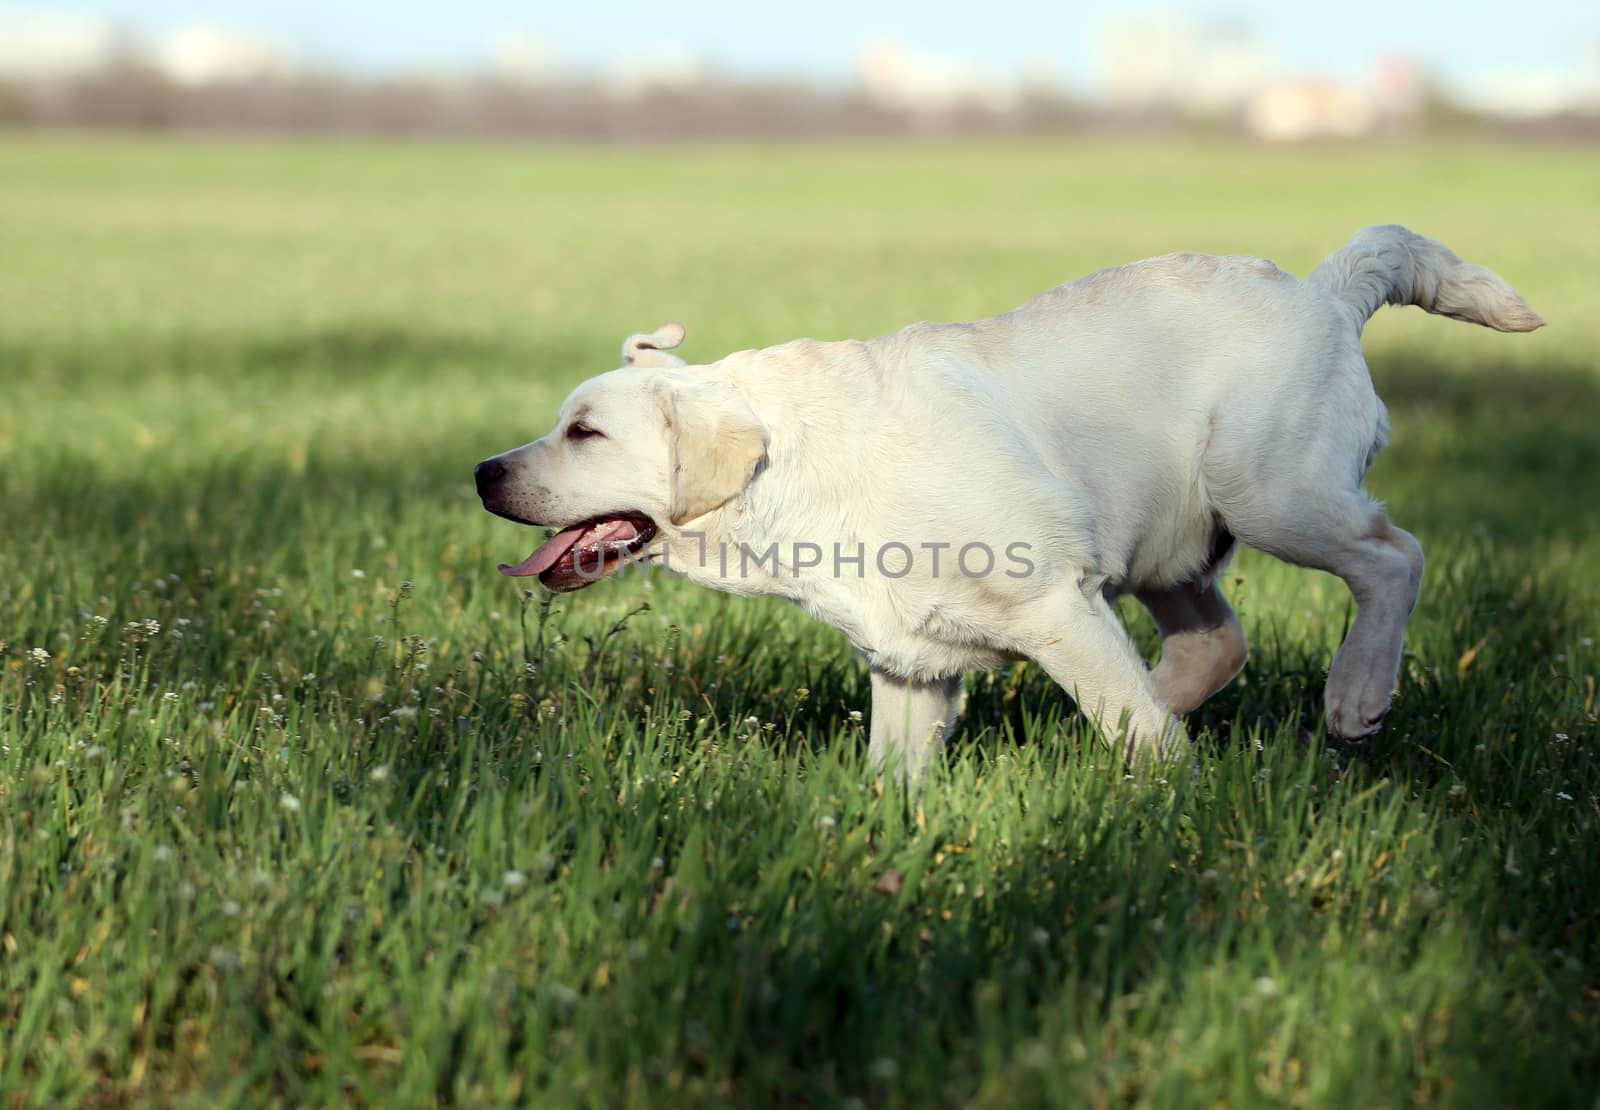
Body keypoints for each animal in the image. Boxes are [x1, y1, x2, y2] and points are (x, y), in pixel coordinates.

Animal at [470, 228, 1536, 783]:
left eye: (585, 433)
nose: (482, 471)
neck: (790, 474)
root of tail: (1324, 294)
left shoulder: (1050, 601)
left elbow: (1128, 723)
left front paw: (1170, 794)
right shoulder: (909, 658)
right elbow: (893, 776)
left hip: (1273, 493)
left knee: (1394, 556)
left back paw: (1355, 696)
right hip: (1164, 538)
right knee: (1214, 643)